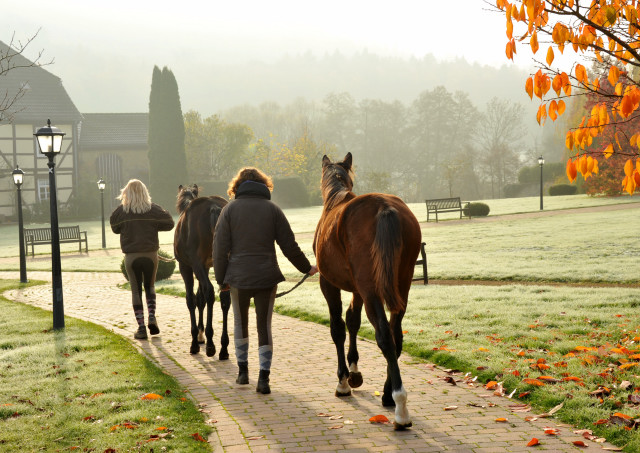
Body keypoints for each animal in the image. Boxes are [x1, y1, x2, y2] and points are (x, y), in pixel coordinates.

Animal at [172, 185, 230, 358]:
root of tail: (214, 207)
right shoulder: (205, 266)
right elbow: (200, 299)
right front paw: (200, 334)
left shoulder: (186, 267)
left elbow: (192, 299)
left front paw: (195, 341)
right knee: (224, 297)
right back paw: (224, 347)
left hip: (195, 266)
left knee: (210, 293)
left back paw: (211, 344)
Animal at [314, 152, 422, 428]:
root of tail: (383, 206)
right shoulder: (357, 289)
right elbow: (353, 320)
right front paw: (354, 372)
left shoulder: (329, 284)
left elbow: (338, 328)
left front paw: (343, 381)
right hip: (400, 286)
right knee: (396, 335)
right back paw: (387, 394)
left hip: (371, 289)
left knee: (384, 335)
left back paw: (400, 406)